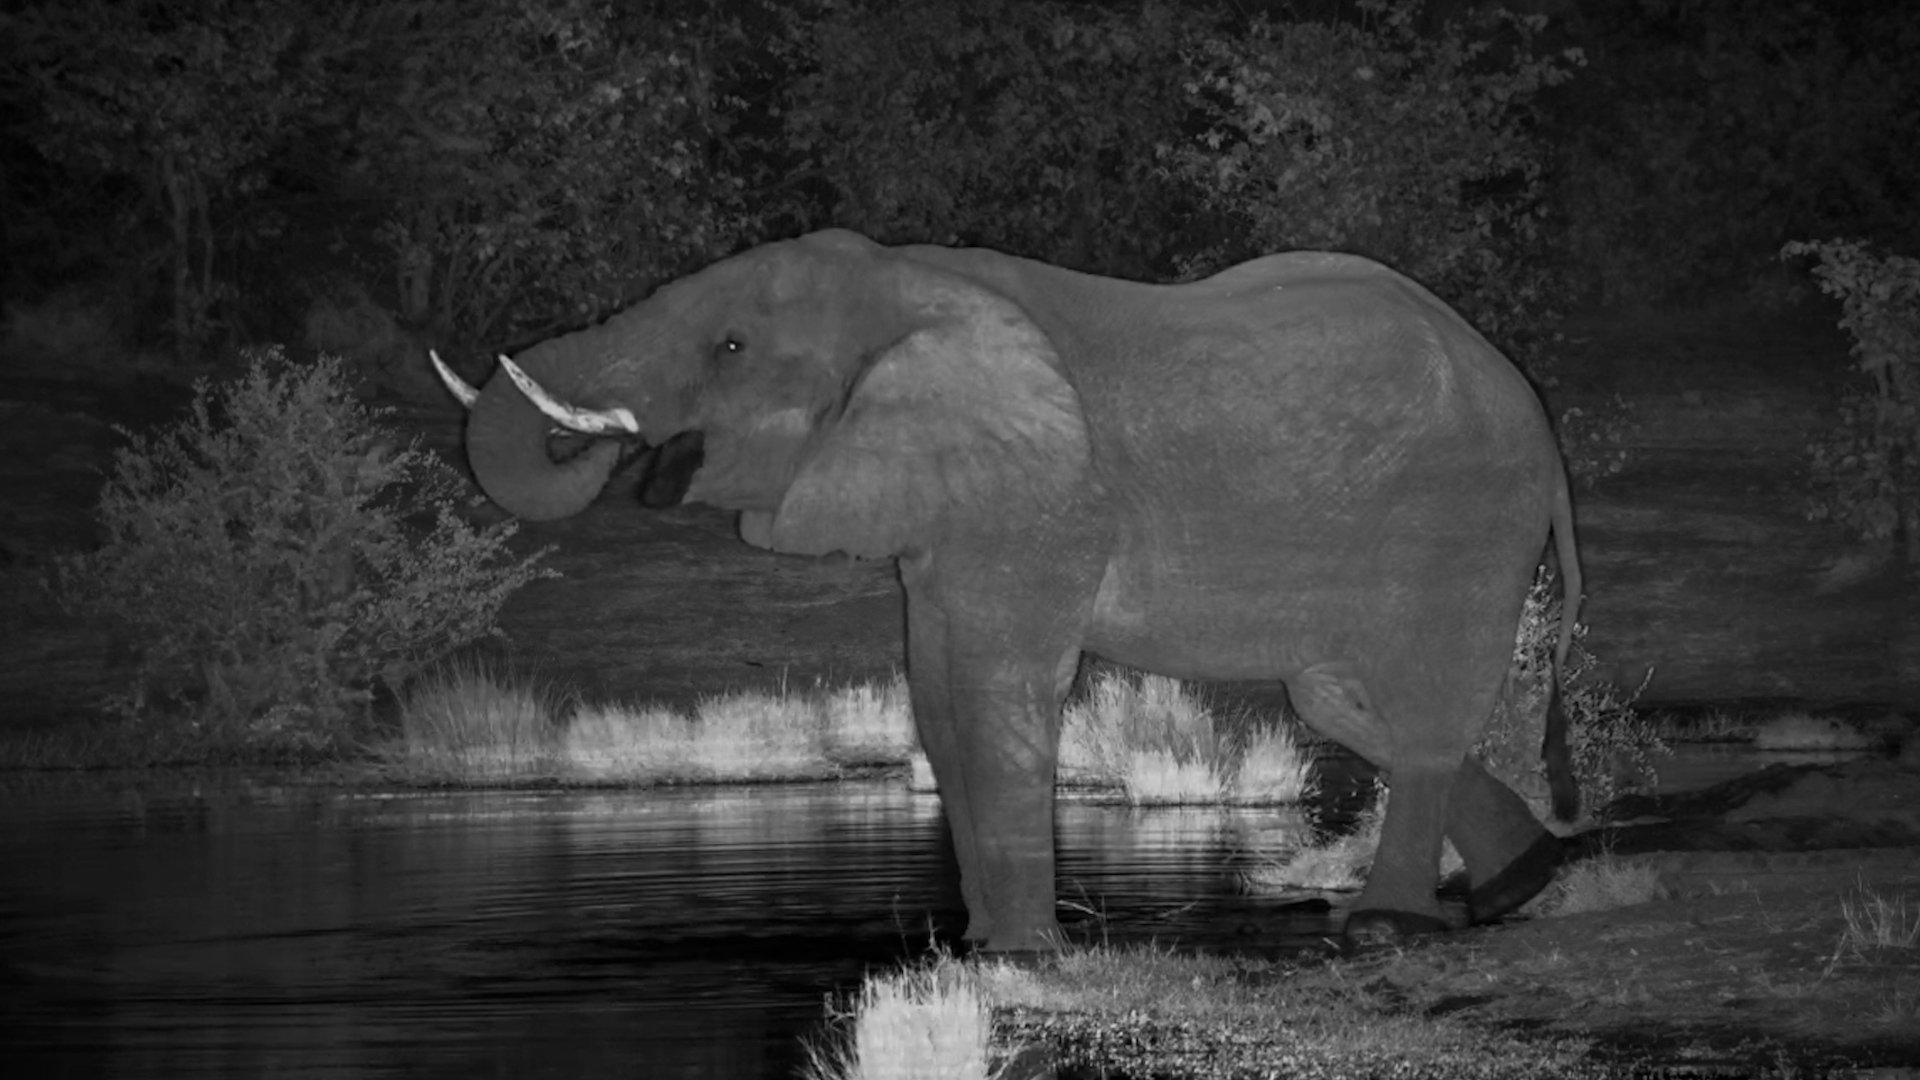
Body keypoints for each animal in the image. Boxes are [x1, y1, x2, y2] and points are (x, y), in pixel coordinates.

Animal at [432, 228, 1581, 952]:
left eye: (729, 346)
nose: (629, 454)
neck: (907, 282)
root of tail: (1528, 402)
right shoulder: (947, 520)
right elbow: (938, 698)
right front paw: (983, 942)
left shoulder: (1037, 502)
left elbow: (998, 697)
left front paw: (1021, 956)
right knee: (1341, 697)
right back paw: (1521, 884)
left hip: (1466, 516)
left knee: (1420, 702)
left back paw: (1390, 924)